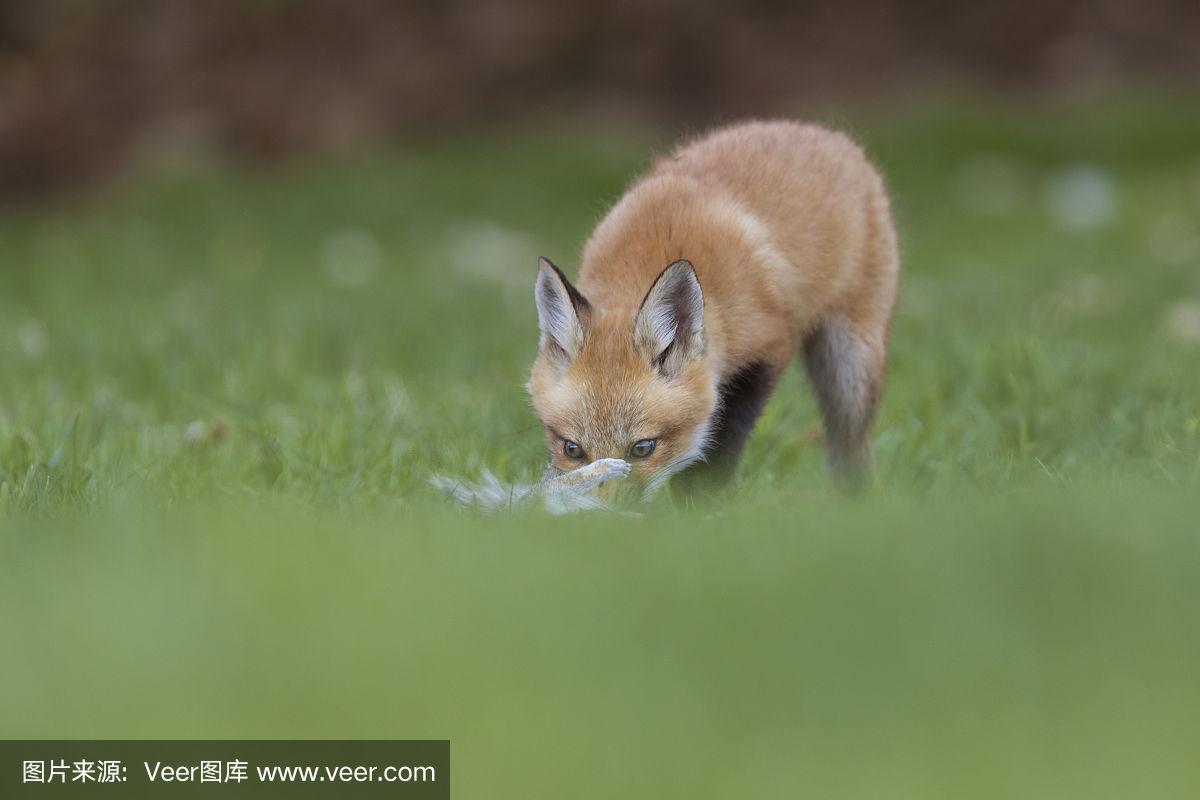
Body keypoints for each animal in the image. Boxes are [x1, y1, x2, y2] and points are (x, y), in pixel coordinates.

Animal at [528, 121, 902, 503]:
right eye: (572, 449)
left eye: (642, 448)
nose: (605, 513)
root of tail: (820, 131)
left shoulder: (764, 353)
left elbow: (718, 451)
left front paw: (701, 506)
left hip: (849, 365)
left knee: (850, 445)